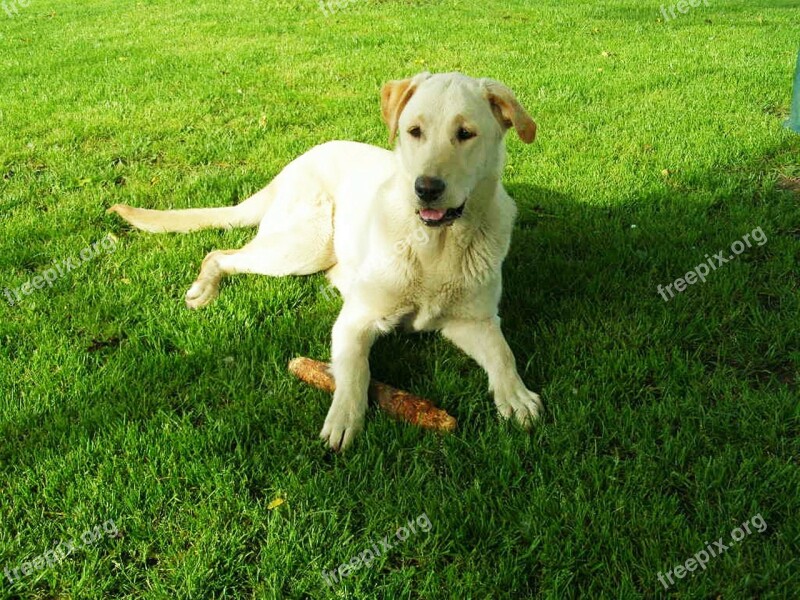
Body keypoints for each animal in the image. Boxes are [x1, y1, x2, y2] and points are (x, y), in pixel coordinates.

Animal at [108, 71, 544, 450]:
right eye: (414, 131)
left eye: (465, 134)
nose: (426, 188)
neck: (434, 246)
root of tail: (292, 165)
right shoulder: (356, 319)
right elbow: (356, 371)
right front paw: (344, 418)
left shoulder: (475, 321)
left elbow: (503, 353)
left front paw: (516, 395)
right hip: (307, 244)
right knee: (220, 253)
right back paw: (204, 288)